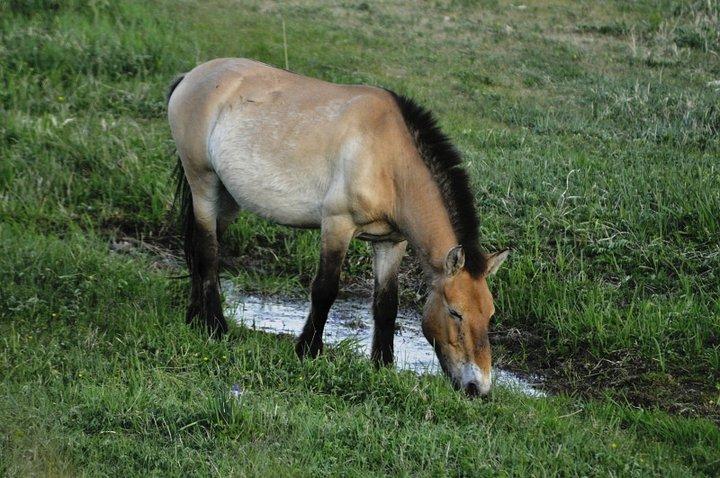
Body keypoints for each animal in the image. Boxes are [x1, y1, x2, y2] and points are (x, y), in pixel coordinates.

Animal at [168, 58, 509, 397]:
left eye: (489, 314)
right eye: (455, 312)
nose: (478, 387)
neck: (389, 158)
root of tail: (192, 76)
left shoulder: (391, 242)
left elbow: (387, 303)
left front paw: (382, 365)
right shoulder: (337, 225)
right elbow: (325, 289)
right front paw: (308, 349)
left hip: (227, 198)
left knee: (202, 248)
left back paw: (194, 316)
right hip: (203, 184)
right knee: (208, 252)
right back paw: (215, 326)